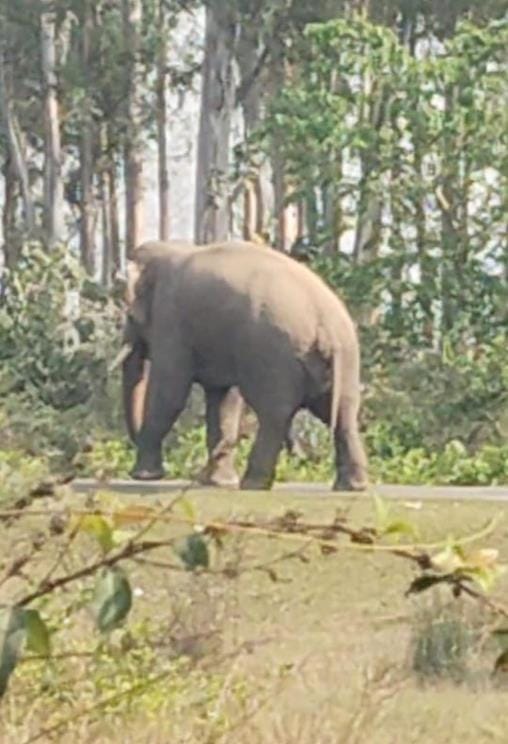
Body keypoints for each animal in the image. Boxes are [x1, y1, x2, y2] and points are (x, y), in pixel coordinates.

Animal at [120, 239, 368, 491]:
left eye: (129, 316)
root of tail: (326, 326)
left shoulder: (170, 319)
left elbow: (169, 392)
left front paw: (145, 476)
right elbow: (222, 398)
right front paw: (218, 482)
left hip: (274, 355)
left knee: (274, 414)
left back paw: (252, 483)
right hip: (345, 359)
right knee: (343, 413)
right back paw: (352, 486)